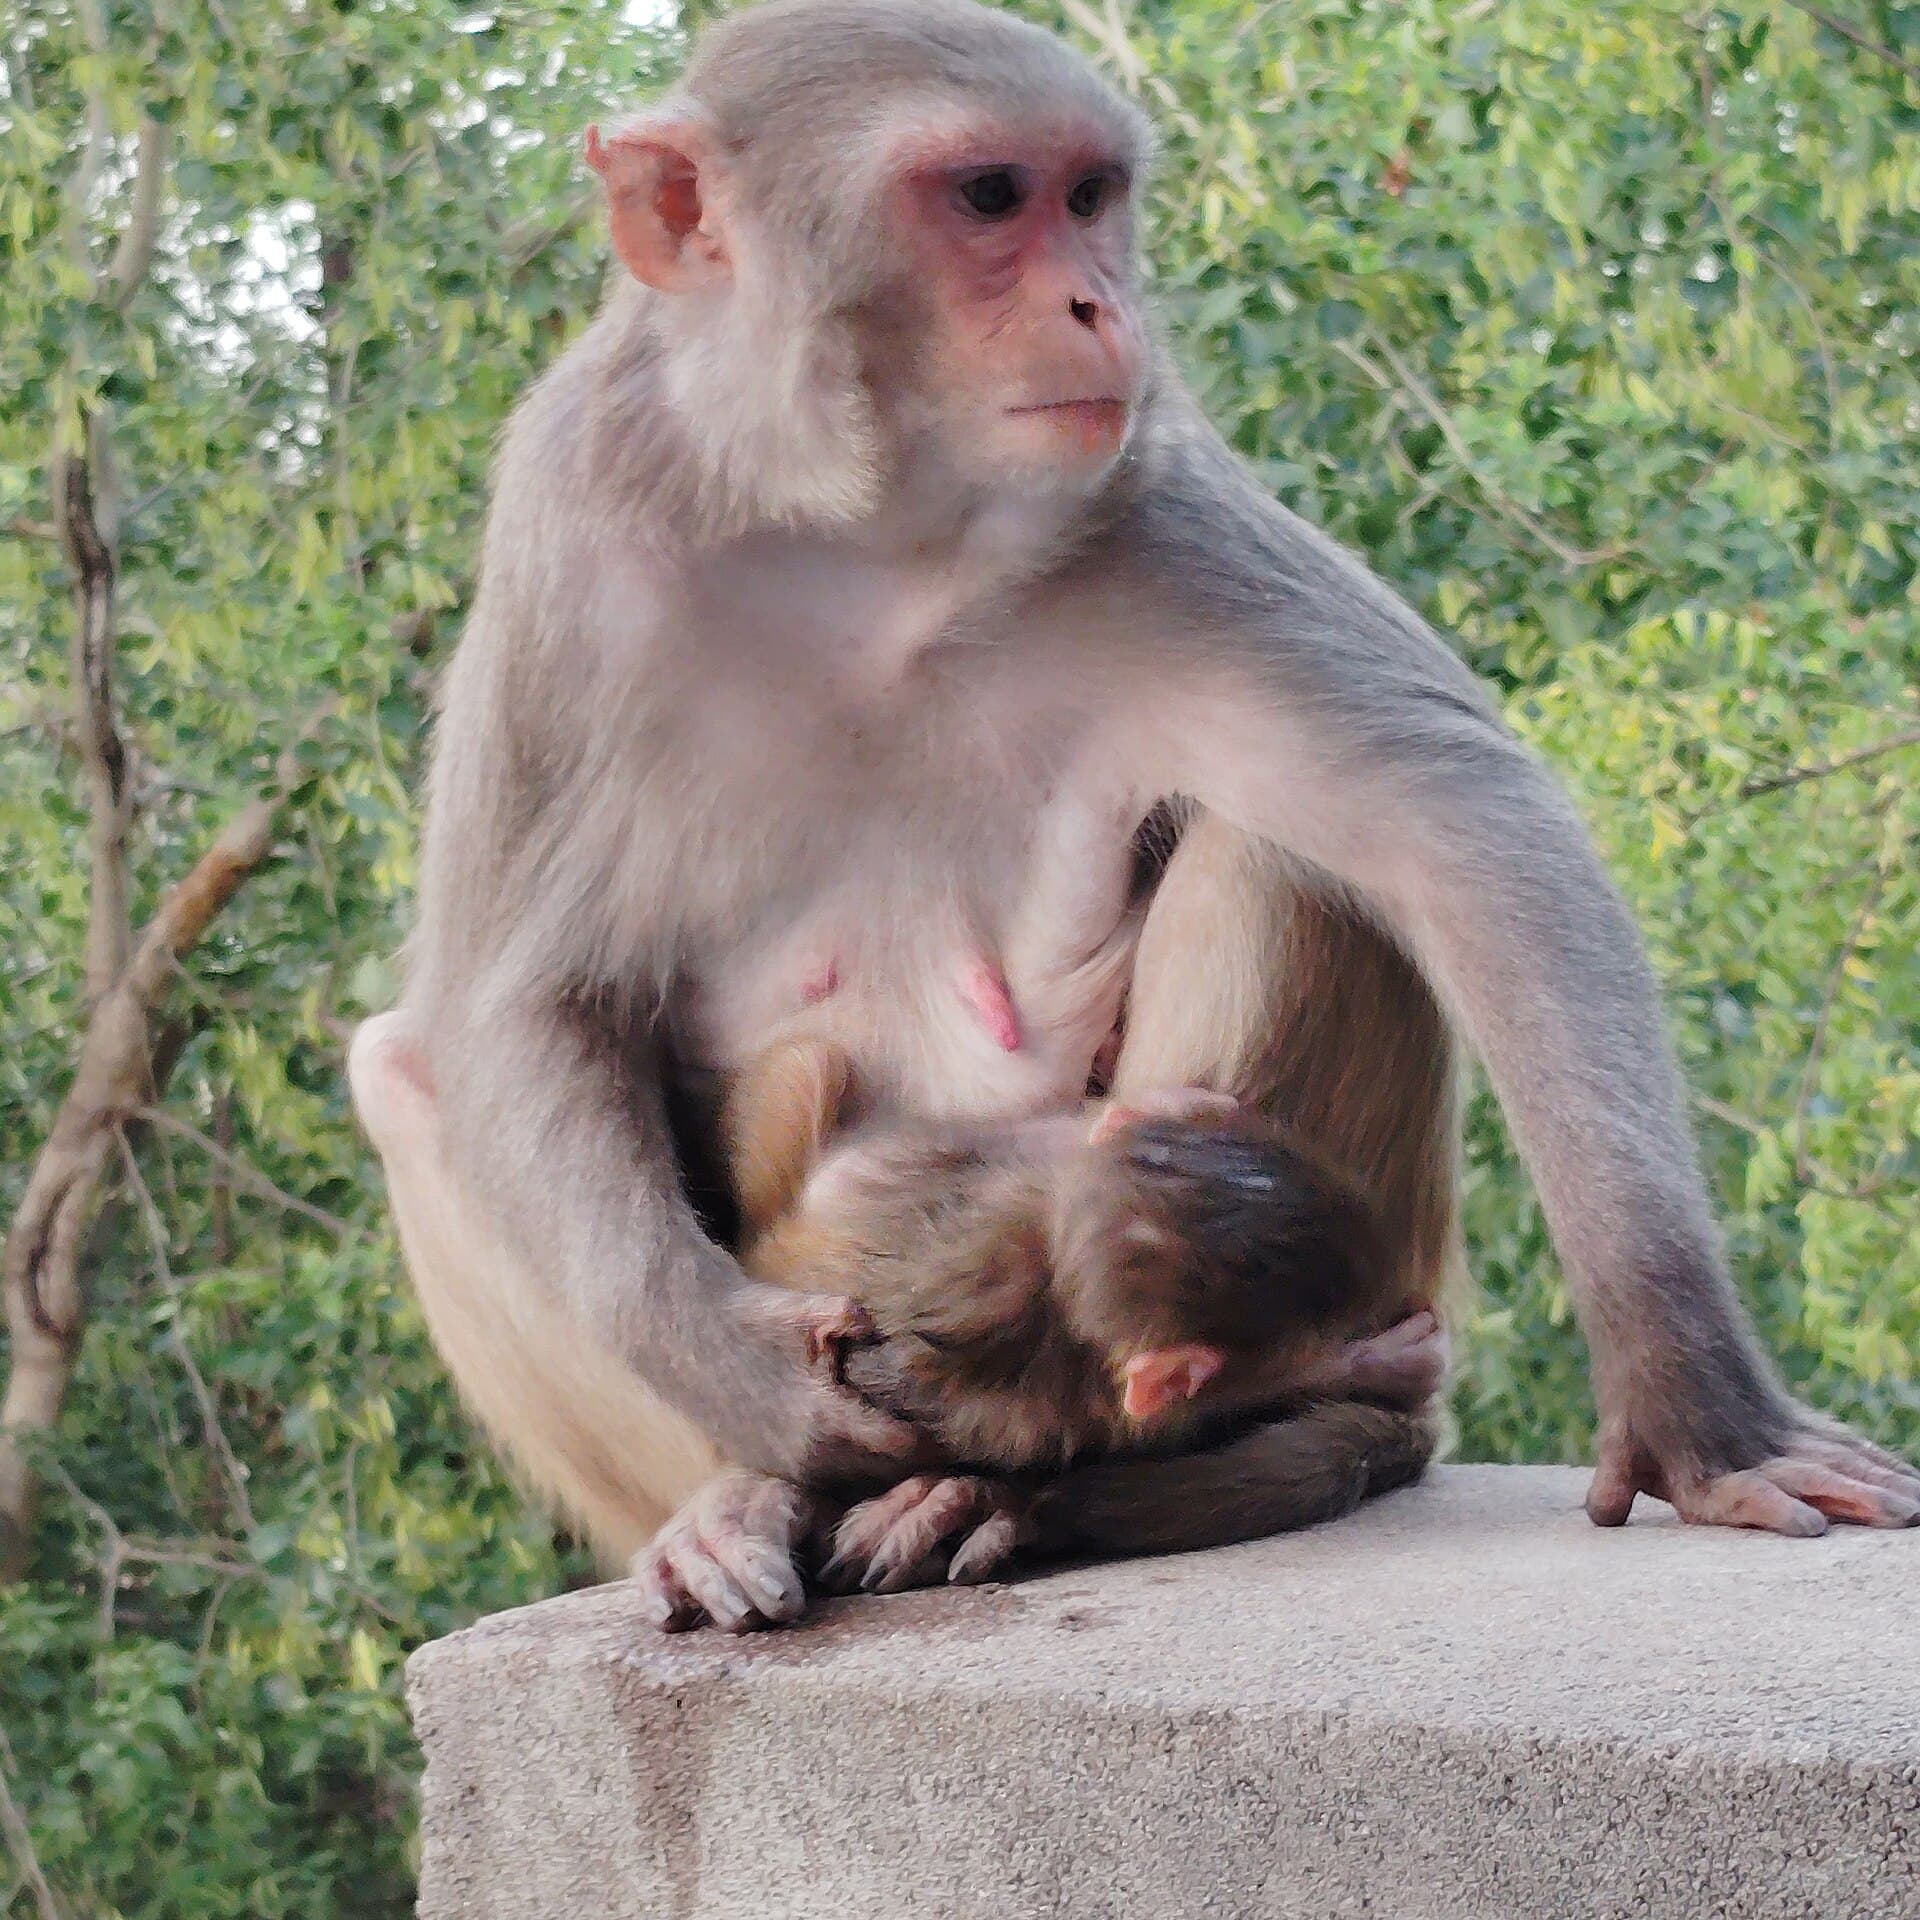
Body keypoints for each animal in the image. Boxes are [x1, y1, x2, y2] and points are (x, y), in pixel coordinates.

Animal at [348, 0, 1920, 1632]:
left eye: (1092, 196)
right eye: (991, 197)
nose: (1101, 304)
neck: (865, 534)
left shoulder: (1144, 489)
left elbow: (1460, 826)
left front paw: (1699, 1403)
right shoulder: (571, 522)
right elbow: (522, 1004)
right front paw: (745, 1380)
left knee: (1287, 851)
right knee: (408, 1073)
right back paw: (757, 1496)